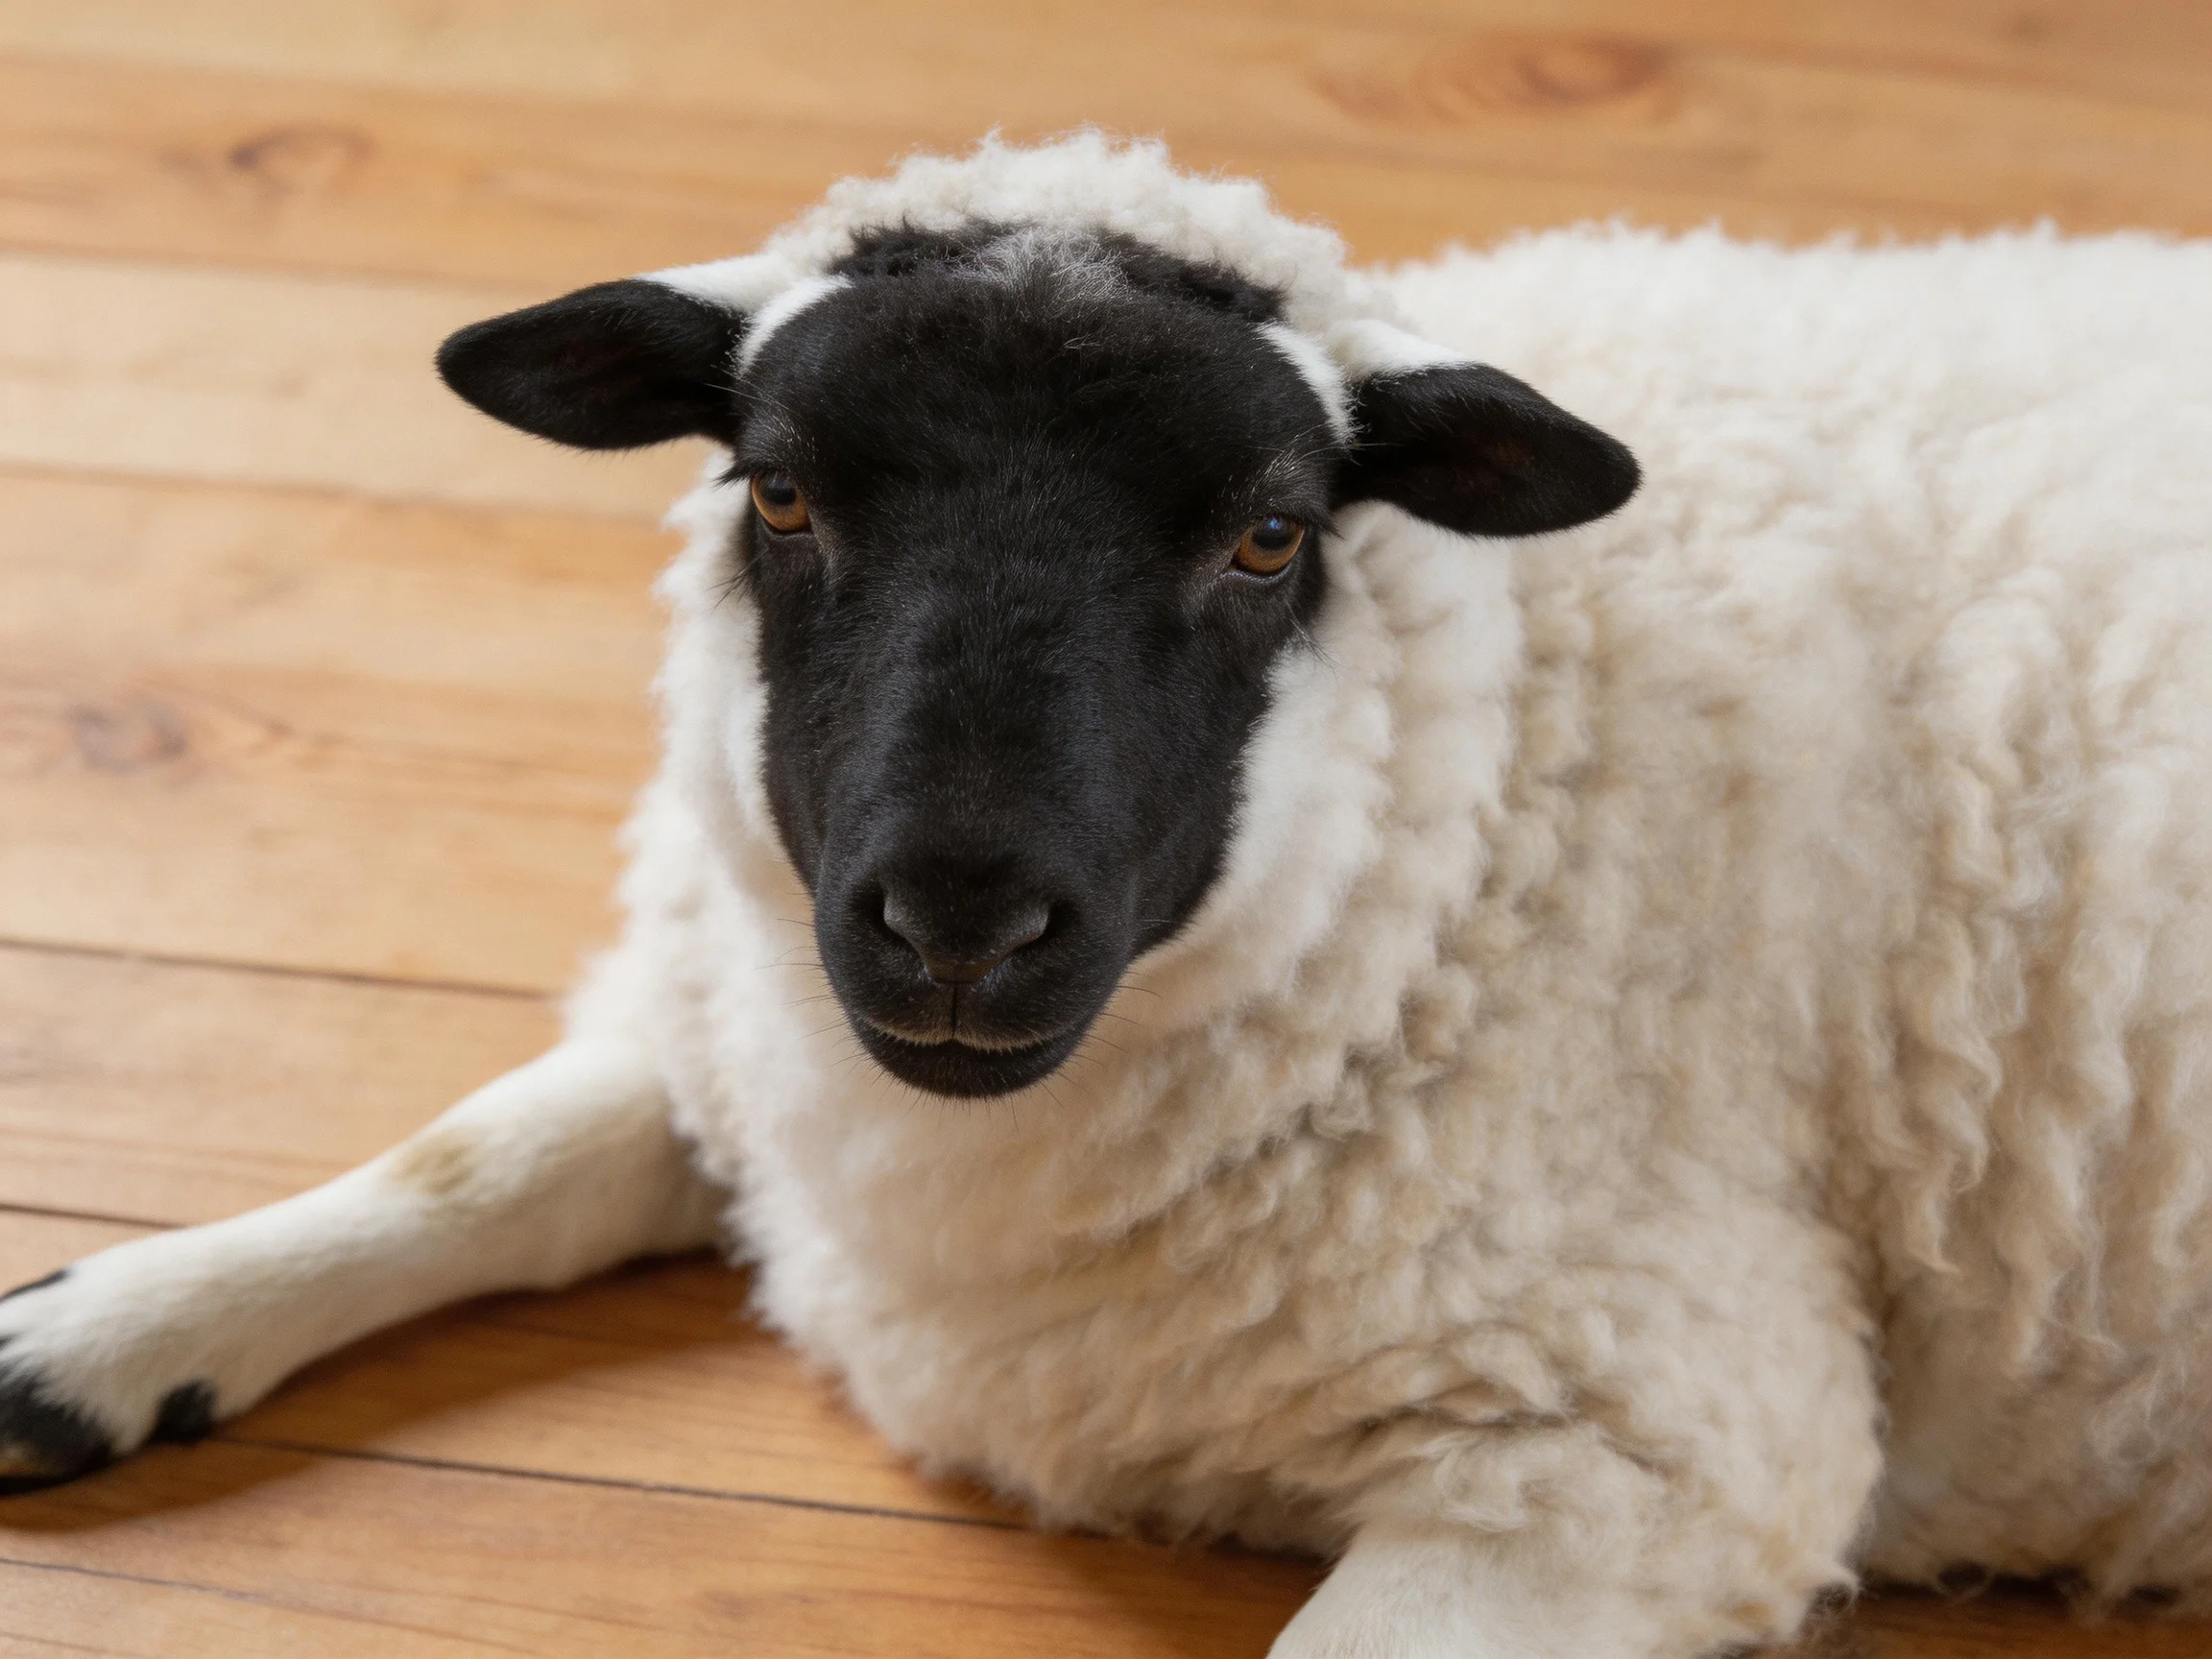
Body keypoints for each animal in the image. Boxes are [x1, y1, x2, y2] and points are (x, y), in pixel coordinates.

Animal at [4, 131, 2211, 1658]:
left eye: (1267, 534)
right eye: (776, 486)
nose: (958, 925)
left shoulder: (1641, 1450)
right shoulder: (748, 1017)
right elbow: (479, 1156)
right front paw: (112, 1322)